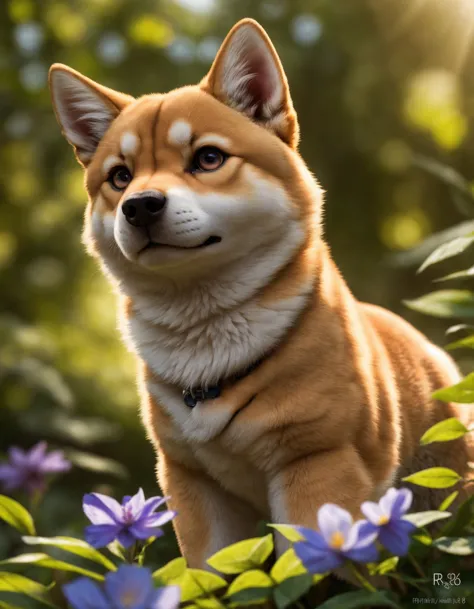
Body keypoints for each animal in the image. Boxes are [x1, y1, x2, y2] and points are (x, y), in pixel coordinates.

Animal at [50, 19, 472, 568]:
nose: (139, 205)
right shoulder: (193, 485)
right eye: (120, 177)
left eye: (208, 158)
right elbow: (213, 573)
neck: (206, 345)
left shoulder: (317, 465)